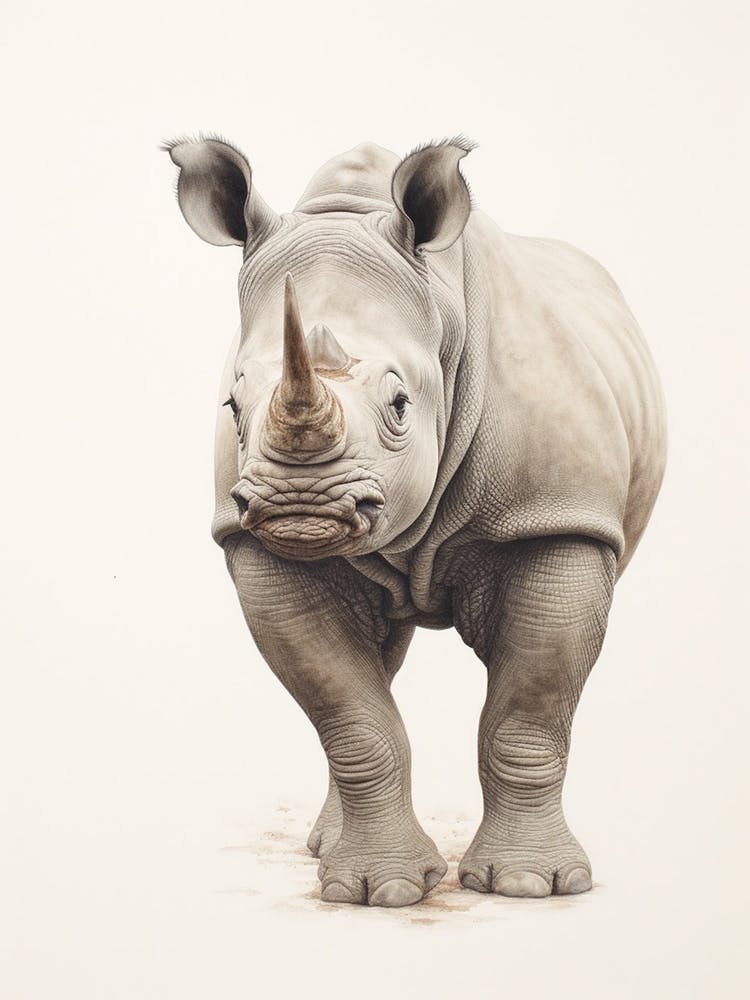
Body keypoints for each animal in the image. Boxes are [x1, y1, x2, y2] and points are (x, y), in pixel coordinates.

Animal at [165, 135, 666, 907]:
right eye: (232, 406)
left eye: (400, 405)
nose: (299, 507)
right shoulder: (253, 542)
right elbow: (352, 720)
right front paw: (383, 891)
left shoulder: (557, 518)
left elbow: (528, 714)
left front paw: (532, 885)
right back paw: (326, 849)